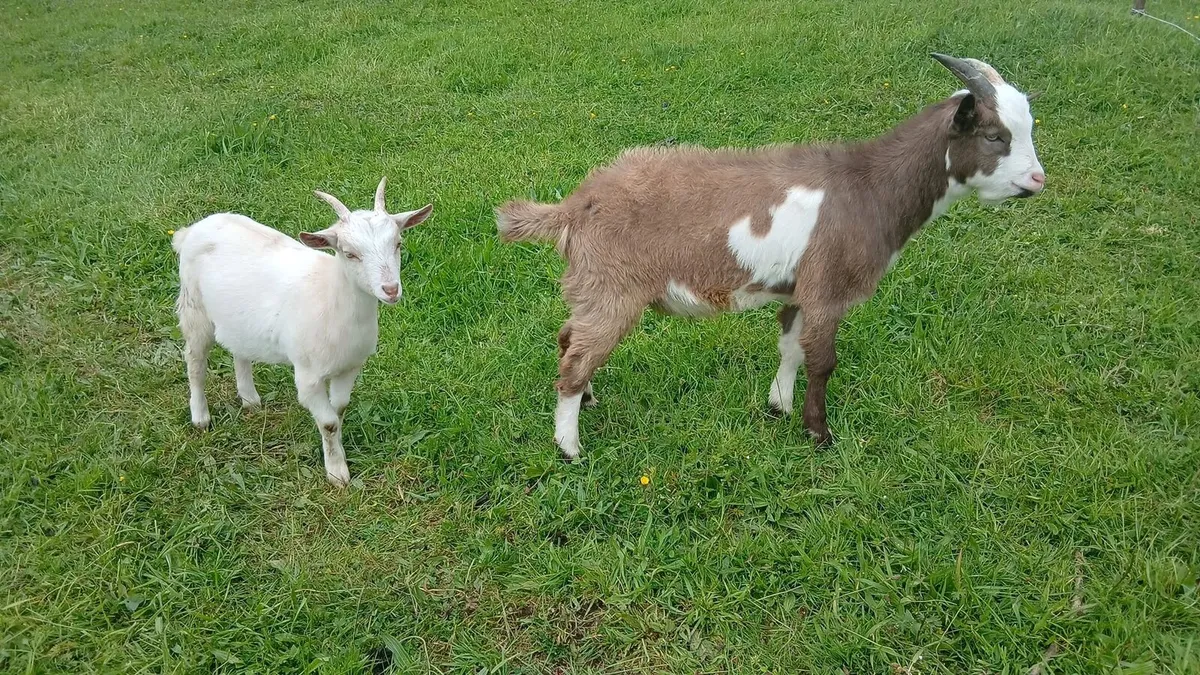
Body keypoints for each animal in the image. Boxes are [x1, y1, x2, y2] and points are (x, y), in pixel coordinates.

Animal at [173, 178, 433, 486]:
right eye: (350, 253)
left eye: (398, 243)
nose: (391, 290)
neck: (330, 298)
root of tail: (191, 230)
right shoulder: (308, 377)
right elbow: (329, 422)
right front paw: (337, 473)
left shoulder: (350, 367)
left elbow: (338, 410)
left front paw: (336, 453)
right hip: (194, 308)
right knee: (195, 361)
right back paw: (200, 417)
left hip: (238, 320)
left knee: (239, 351)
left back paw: (250, 399)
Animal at [496, 54, 1045, 458]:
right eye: (995, 136)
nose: (1037, 180)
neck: (871, 187)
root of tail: (576, 206)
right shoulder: (828, 289)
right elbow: (823, 361)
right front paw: (819, 435)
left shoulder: (799, 290)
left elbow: (791, 349)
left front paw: (778, 406)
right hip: (613, 288)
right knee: (576, 359)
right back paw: (569, 447)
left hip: (592, 287)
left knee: (568, 338)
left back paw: (587, 401)